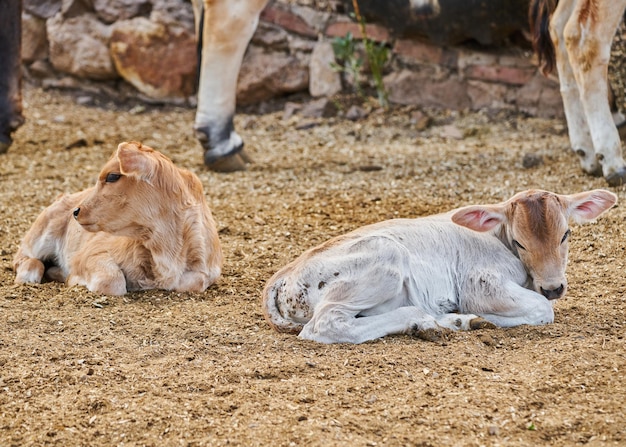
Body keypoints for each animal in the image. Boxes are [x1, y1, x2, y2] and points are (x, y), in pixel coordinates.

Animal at [12, 142, 224, 296]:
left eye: (113, 176)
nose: (77, 211)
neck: (165, 249)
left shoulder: (208, 270)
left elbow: (193, 282)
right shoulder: (91, 253)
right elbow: (112, 282)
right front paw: (74, 279)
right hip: (41, 233)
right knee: (24, 258)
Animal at [262, 191, 616, 344]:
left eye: (565, 234)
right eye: (521, 243)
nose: (553, 286)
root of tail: (283, 274)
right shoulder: (480, 283)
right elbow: (542, 309)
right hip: (384, 259)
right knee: (325, 325)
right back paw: (424, 321)